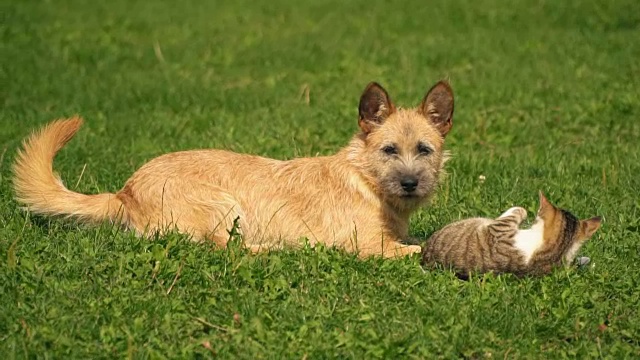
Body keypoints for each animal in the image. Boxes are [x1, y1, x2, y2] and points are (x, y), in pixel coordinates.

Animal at [12, 80, 452, 258]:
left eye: (424, 150)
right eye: (389, 150)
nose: (410, 183)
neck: (366, 180)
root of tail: (126, 191)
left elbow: (418, 238)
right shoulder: (366, 245)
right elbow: (413, 250)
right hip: (224, 205)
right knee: (222, 247)